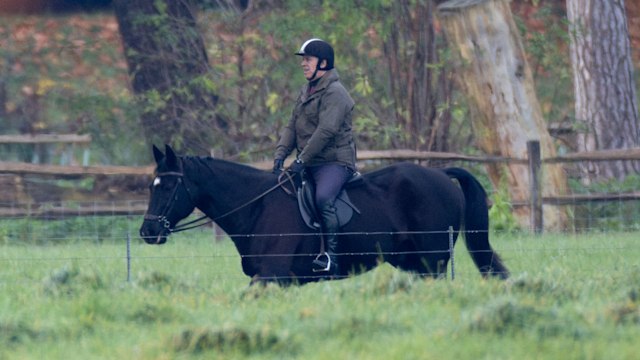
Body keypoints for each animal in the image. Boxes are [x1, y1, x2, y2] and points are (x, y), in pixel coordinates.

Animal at [140, 145, 510, 286]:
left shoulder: (271, 276)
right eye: (151, 185)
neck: (257, 207)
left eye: (168, 188)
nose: (147, 233)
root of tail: (440, 174)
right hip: (413, 264)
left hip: (432, 261)